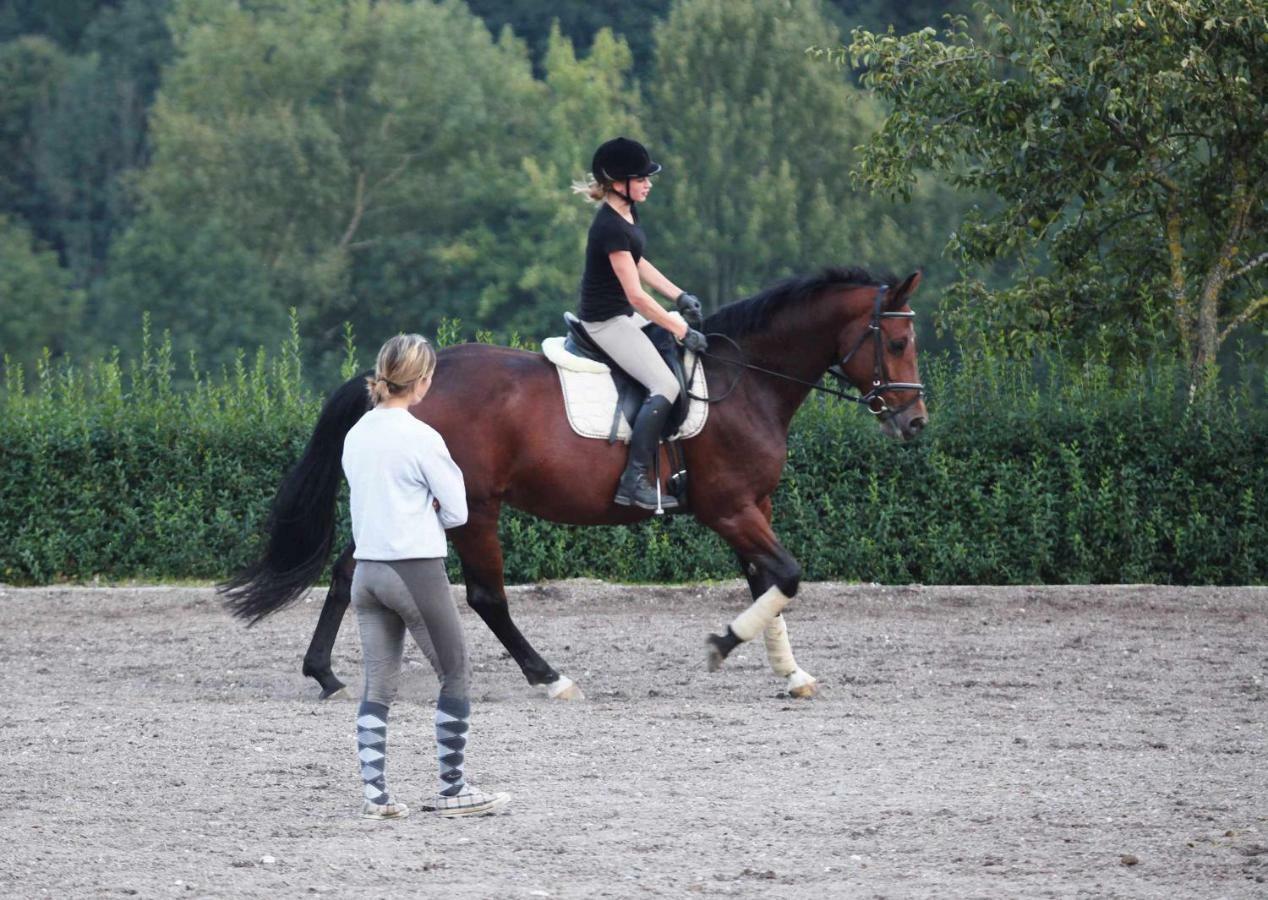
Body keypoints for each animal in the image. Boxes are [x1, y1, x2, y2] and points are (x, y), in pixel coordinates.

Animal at [220, 267, 933, 704]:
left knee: (350, 570)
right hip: (472, 507)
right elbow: (785, 576)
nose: (915, 422)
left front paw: (791, 675)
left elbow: (770, 587)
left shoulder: (752, 506)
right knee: (485, 596)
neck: (748, 379)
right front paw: (723, 644)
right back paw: (550, 678)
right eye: (898, 339)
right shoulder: (730, 508)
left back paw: (327, 674)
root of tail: (400, 382)